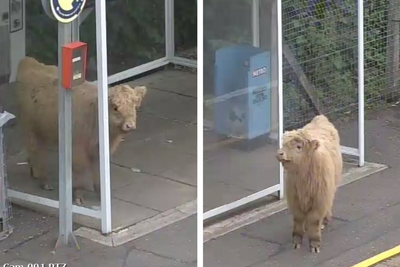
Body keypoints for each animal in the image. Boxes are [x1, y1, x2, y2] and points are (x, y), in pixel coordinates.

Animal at [15, 57, 148, 205]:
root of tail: (28, 61)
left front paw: (100, 193)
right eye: (115, 107)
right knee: (36, 150)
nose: (130, 125)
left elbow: (99, 169)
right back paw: (44, 180)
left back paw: (35, 173)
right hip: (29, 128)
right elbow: (80, 170)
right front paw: (78, 195)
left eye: (134, 106)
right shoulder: (78, 149)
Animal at [276, 114, 344, 253]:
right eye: (284, 144)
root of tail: (321, 117)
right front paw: (296, 241)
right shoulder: (294, 199)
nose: (280, 153)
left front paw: (314, 244)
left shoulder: (320, 199)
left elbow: (314, 220)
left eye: (298, 147)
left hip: (330, 188)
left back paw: (325, 221)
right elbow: (298, 219)